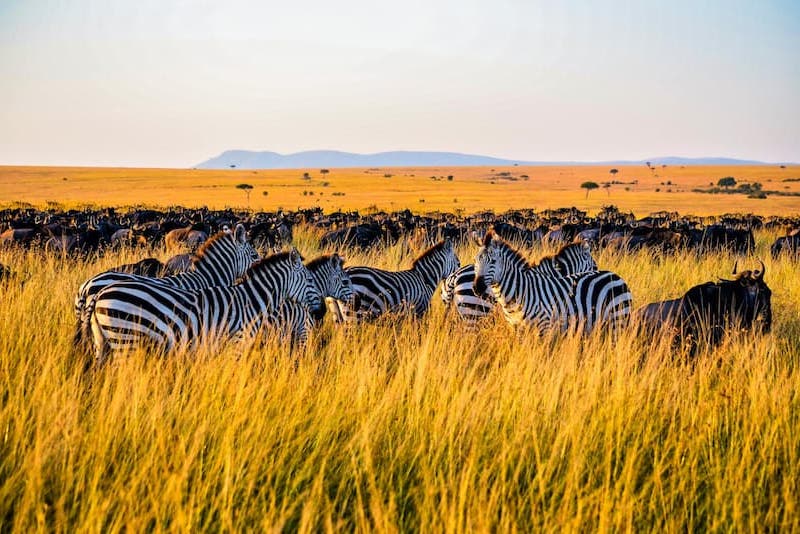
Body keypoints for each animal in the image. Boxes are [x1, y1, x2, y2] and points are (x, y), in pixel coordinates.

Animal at [88, 249, 322, 367]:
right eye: (310, 279)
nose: (321, 311)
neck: (252, 301)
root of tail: (99, 294)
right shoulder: (236, 344)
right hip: (125, 339)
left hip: (104, 342)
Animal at [327, 239, 460, 322]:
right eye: (458, 263)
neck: (424, 278)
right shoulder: (419, 309)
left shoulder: (408, 312)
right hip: (354, 312)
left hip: (338, 314)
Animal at [473, 232, 632, 333]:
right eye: (476, 261)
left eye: (493, 261)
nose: (477, 288)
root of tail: (616, 276)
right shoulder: (517, 328)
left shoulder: (545, 327)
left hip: (618, 320)